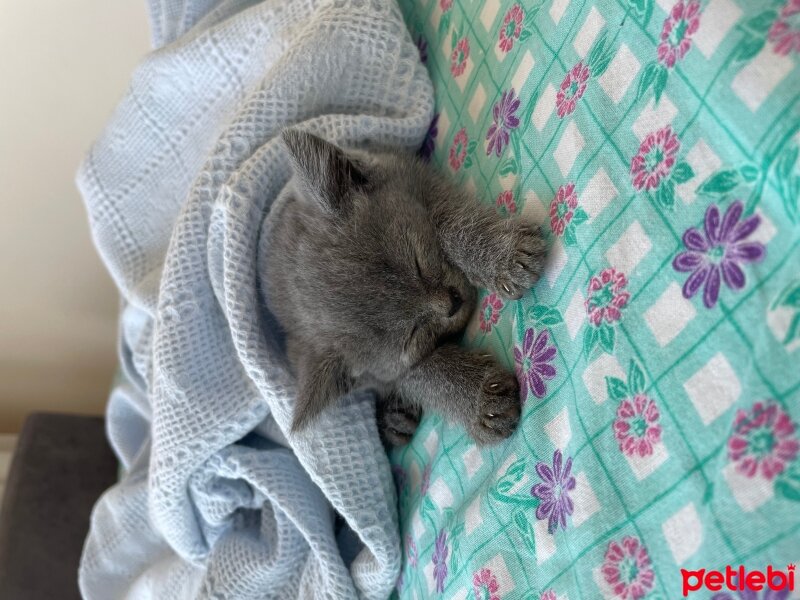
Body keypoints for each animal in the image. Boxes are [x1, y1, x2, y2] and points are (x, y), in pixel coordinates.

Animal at [260, 127, 544, 446]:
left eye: (417, 263)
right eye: (411, 334)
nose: (453, 303)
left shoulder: (410, 174)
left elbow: (446, 221)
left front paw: (500, 255)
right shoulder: (382, 374)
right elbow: (415, 374)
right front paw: (480, 400)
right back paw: (395, 422)